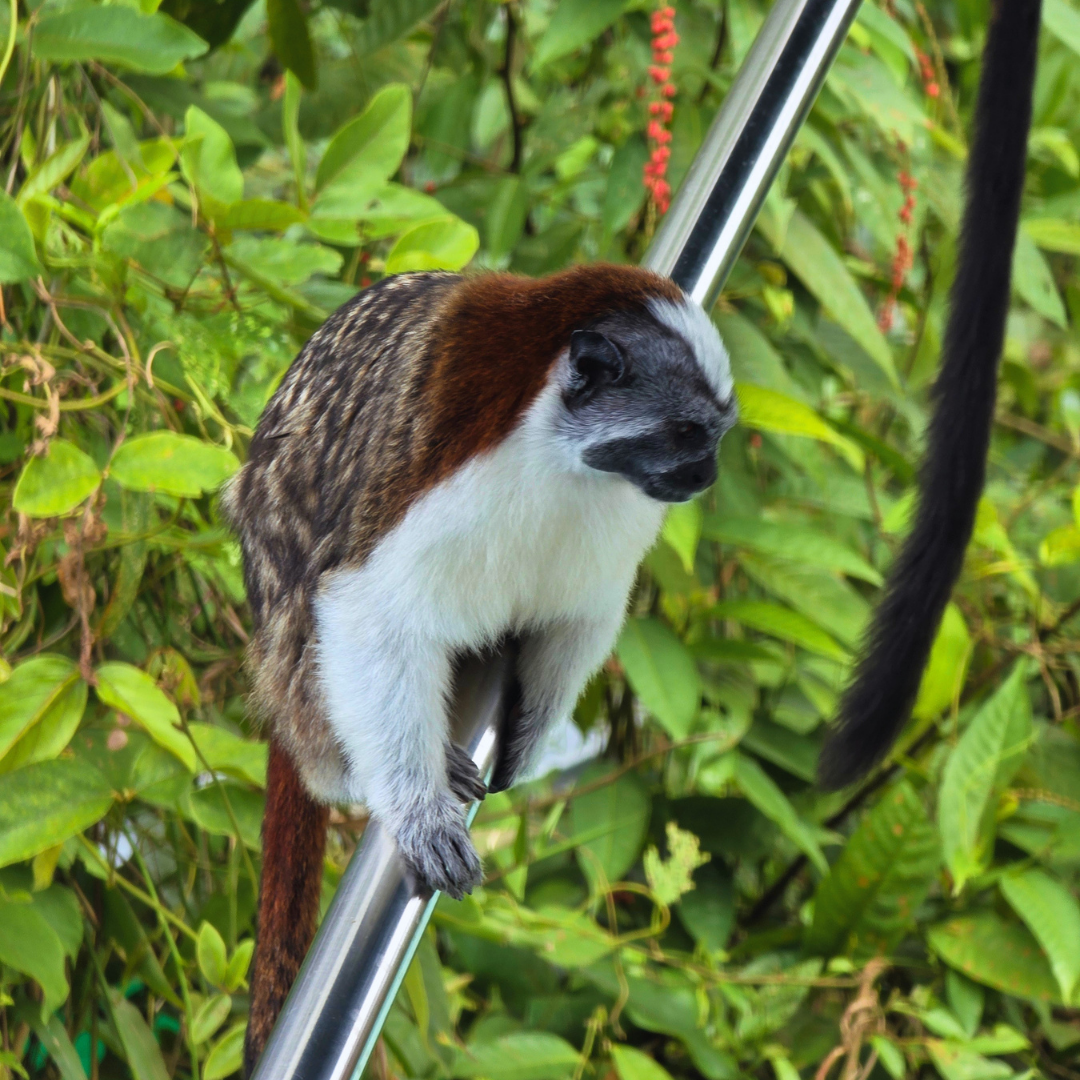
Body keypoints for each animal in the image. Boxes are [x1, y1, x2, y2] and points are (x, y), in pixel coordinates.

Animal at [223, 264, 738, 1074]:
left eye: (714, 437)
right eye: (685, 434)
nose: (706, 474)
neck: (558, 457)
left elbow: (581, 612)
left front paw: (529, 731)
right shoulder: (445, 483)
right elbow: (368, 610)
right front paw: (417, 814)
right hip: (286, 662)